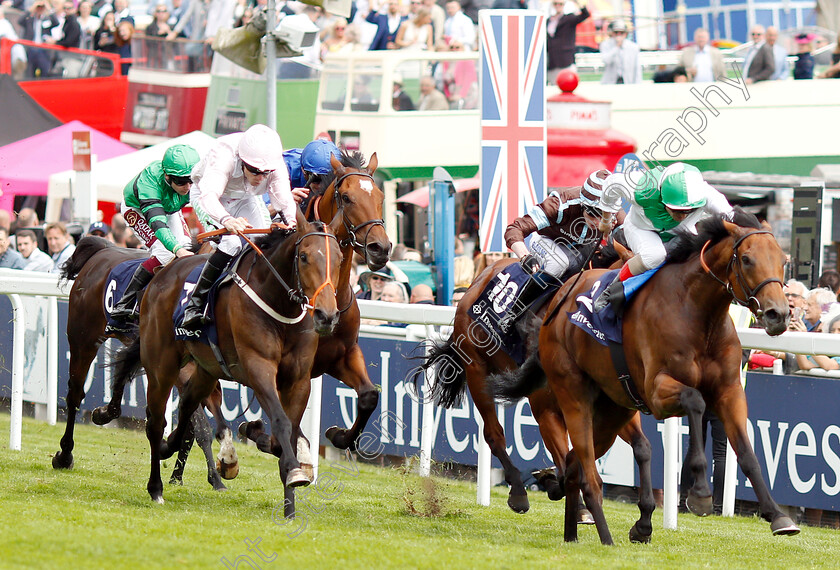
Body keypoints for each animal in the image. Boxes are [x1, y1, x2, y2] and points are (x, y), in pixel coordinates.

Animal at [51, 235, 230, 488]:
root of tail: (102, 250)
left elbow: (192, 428)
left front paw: (183, 475)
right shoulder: (180, 373)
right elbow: (200, 427)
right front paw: (214, 476)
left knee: (120, 373)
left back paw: (105, 412)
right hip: (82, 339)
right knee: (75, 394)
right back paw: (65, 455)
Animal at [115, 210, 344, 502]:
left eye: (340, 258)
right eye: (304, 257)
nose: (327, 316)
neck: (279, 304)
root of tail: (163, 273)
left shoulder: (299, 379)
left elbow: (288, 431)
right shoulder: (258, 368)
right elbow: (281, 421)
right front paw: (293, 470)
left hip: (205, 369)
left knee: (187, 404)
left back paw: (174, 447)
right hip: (161, 366)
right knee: (156, 421)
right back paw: (156, 487)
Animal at [488, 209, 796, 540]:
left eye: (783, 260)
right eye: (747, 259)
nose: (778, 314)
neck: (698, 314)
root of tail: (557, 303)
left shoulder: (729, 391)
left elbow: (747, 453)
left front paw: (778, 515)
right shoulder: (657, 392)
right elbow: (695, 401)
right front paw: (700, 492)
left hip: (612, 410)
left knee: (574, 462)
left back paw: (569, 519)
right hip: (570, 396)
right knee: (581, 463)